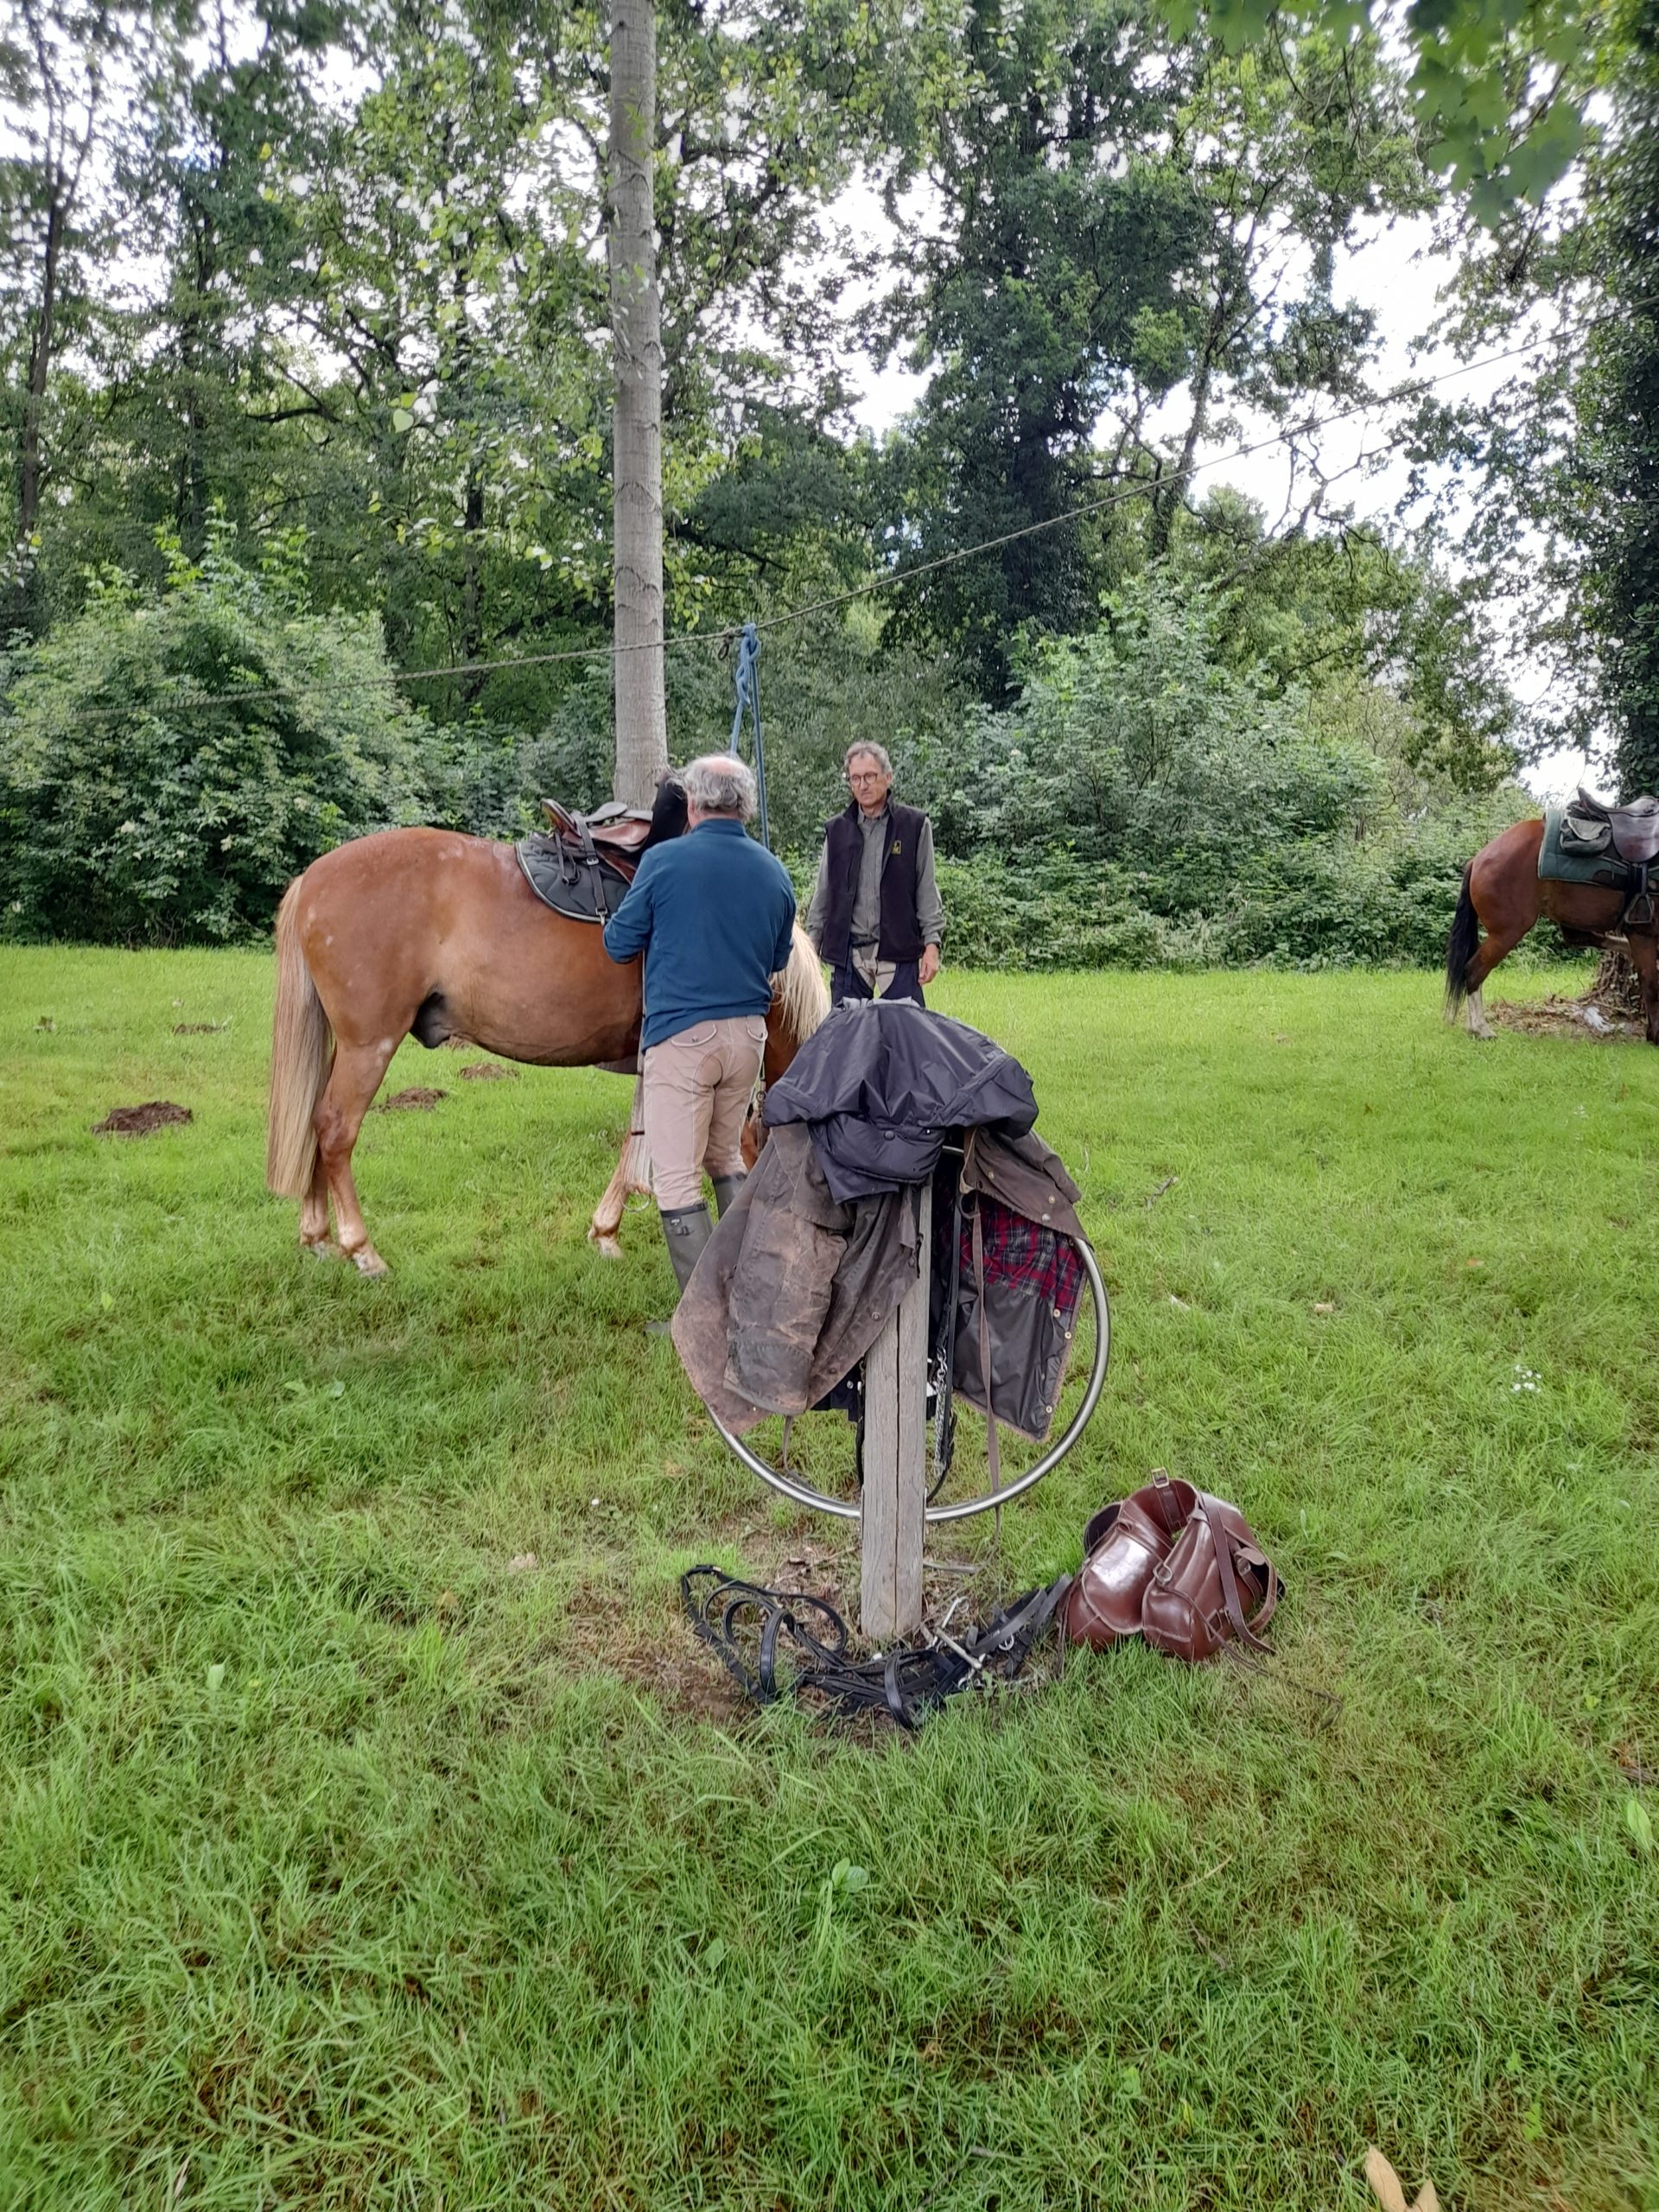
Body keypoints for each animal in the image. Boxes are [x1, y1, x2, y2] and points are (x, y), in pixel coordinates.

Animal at [264, 811, 828, 1276]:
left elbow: (637, 1138)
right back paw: (360, 1249)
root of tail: (312, 878)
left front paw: (606, 1230)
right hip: (369, 1046)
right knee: (335, 1129)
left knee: (314, 1118)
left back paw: (317, 1235)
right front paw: (609, 1229)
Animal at [1444, 813, 1659, 1044]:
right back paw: (1481, 1028)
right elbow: (1651, 983)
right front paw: (1655, 1034)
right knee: (1473, 971)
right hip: (1507, 933)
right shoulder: (1642, 933)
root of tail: (1477, 860)